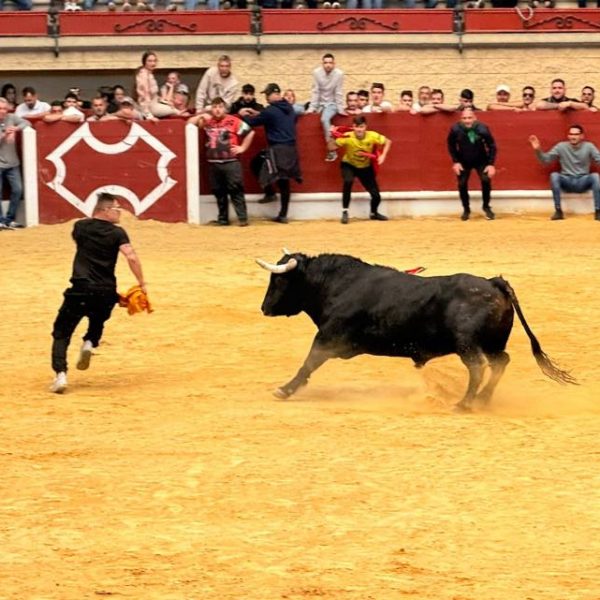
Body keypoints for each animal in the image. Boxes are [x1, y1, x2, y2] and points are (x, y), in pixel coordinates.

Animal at [256, 250, 576, 411]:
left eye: (279, 280)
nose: (264, 308)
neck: (337, 285)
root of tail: (493, 282)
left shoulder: (328, 339)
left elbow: (308, 362)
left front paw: (284, 390)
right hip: (492, 343)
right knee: (500, 363)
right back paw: (483, 400)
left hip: (468, 344)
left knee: (477, 367)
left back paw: (464, 403)